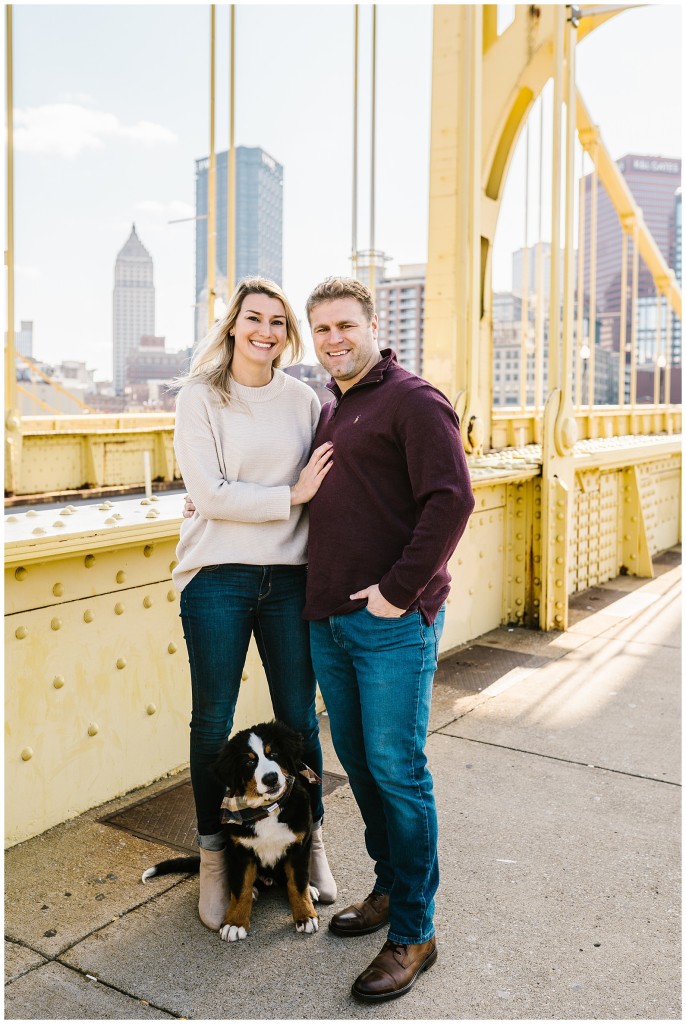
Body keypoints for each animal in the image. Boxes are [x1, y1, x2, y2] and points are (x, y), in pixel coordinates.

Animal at [143, 720, 321, 942]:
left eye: (274, 753)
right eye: (249, 763)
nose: (270, 778)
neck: (267, 809)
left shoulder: (300, 845)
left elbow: (297, 883)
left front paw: (305, 915)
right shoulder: (239, 851)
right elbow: (240, 887)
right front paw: (235, 923)